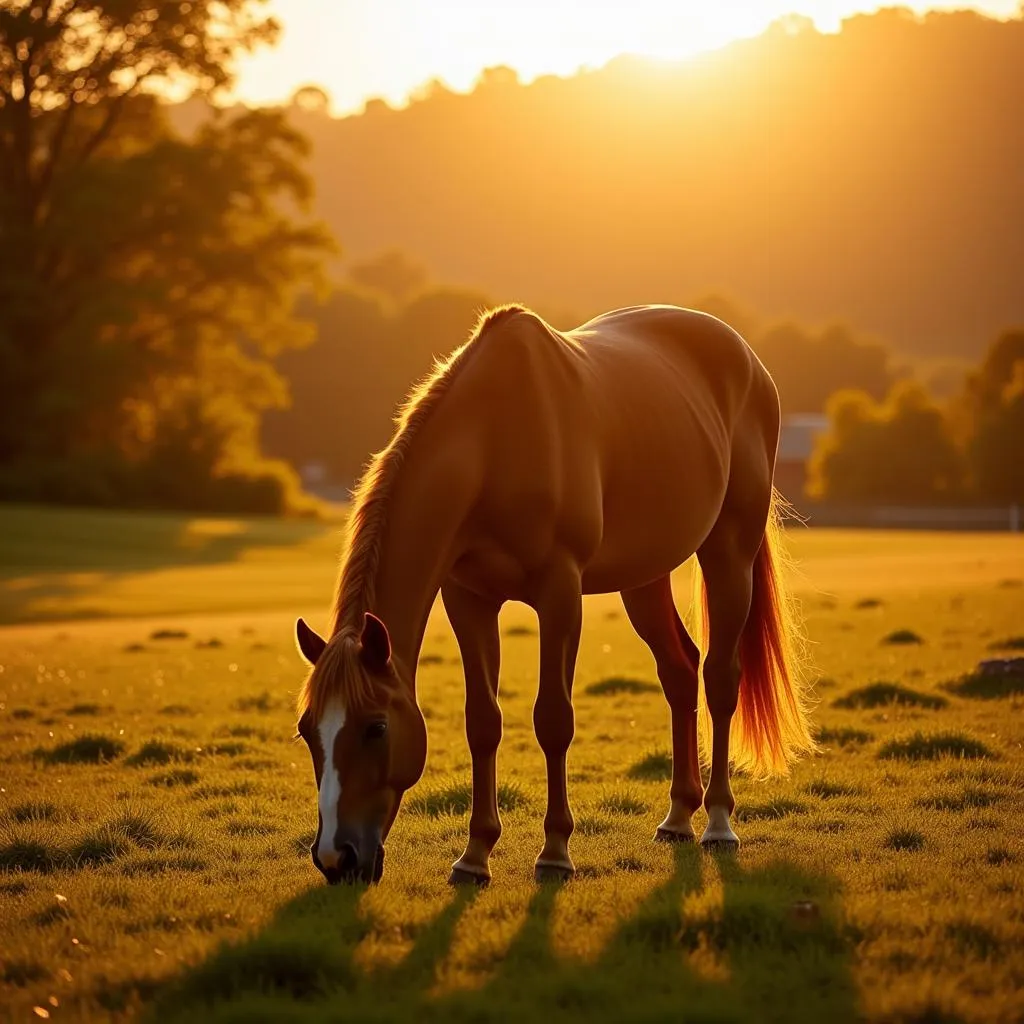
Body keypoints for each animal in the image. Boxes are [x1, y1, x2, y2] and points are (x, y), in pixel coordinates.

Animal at [294, 303, 815, 888]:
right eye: (307, 730)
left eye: (376, 728)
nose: (337, 858)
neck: (492, 443)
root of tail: (746, 359)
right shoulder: (468, 598)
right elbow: (483, 722)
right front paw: (475, 856)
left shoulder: (560, 593)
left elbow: (553, 720)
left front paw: (555, 852)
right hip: (643, 576)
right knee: (680, 671)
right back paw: (679, 816)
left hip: (730, 551)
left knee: (720, 679)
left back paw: (719, 824)